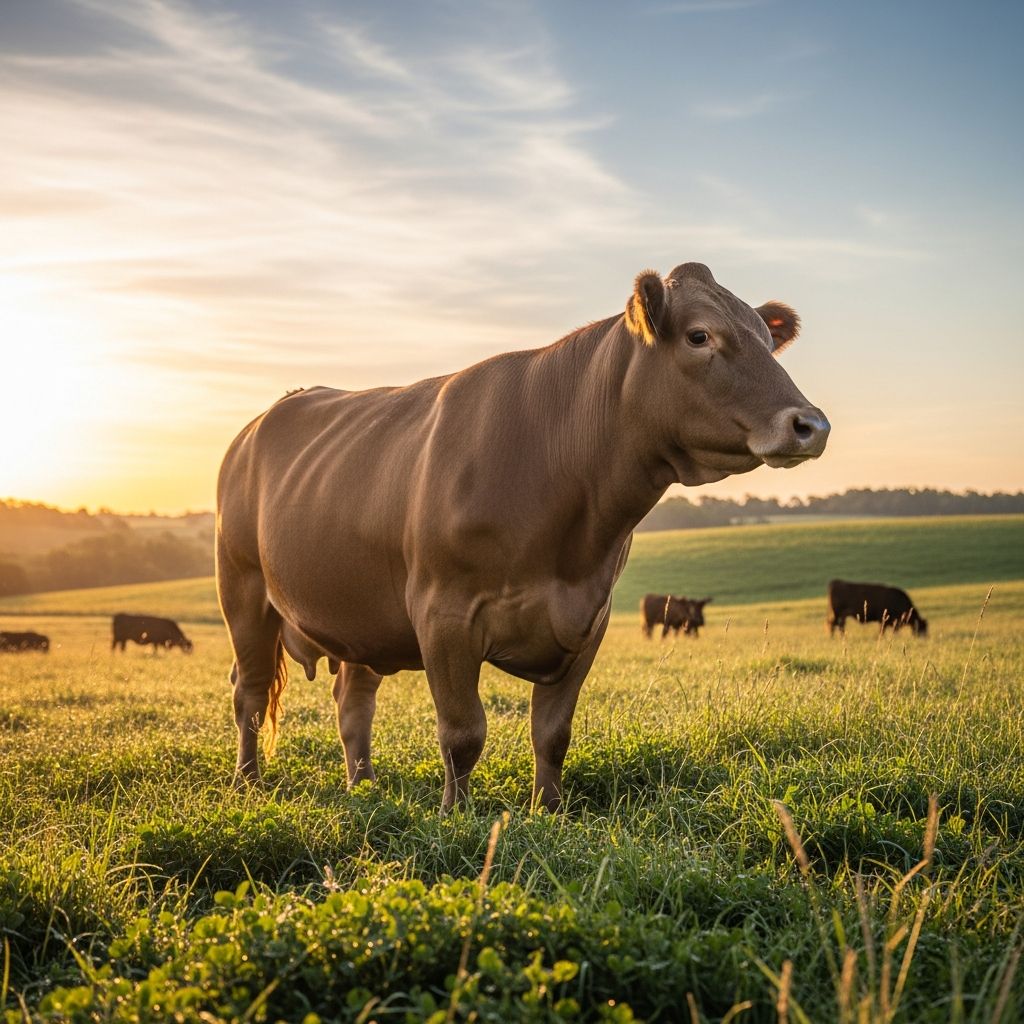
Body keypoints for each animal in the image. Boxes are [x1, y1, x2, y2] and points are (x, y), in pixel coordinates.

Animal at [217, 261, 829, 811]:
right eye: (700, 335)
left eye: (766, 340)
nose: (812, 425)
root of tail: (262, 420)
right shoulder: (443, 614)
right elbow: (463, 733)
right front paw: (455, 815)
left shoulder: (588, 619)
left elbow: (552, 733)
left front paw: (549, 810)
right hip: (243, 591)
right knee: (249, 693)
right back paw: (249, 784)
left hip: (360, 614)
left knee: (353, 702)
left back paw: (363, 788)